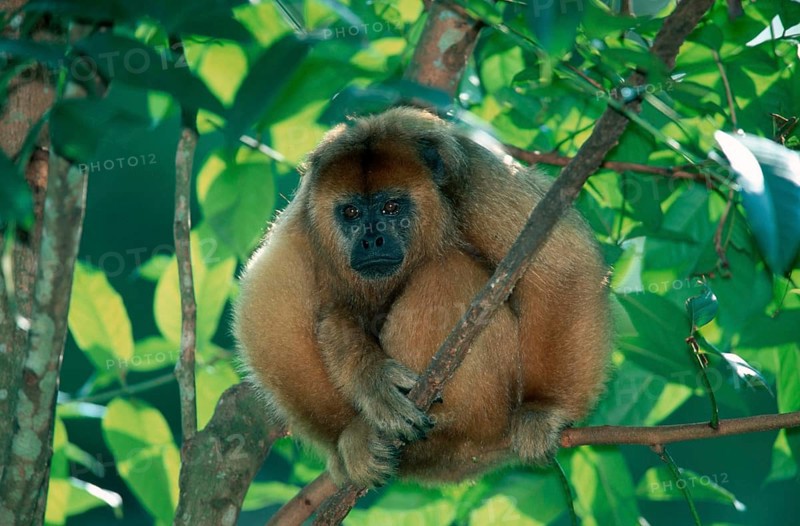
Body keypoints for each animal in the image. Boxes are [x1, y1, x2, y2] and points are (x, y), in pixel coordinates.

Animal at [232, 107, 611, 488]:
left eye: (391, 207)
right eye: (351, 212)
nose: (371, 241)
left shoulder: (478, 180)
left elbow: (562, 262)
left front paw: (544, 408)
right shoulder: (303, 219)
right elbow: (270, 302)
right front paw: (360, 409)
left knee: (448, 269)